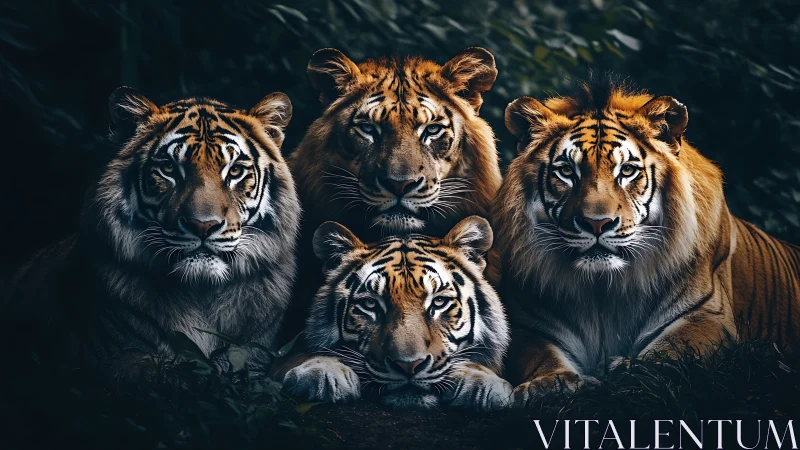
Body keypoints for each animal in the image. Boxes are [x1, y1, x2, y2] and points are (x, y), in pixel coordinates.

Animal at [491, 74, 800, 407]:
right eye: (566, 171)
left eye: (627, 170)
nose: (596, 223)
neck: (603, 289)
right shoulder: (529, 324)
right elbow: (540, 357)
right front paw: (553, 384)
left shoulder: (705, 317)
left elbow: (670, 353)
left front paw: (625, 370)